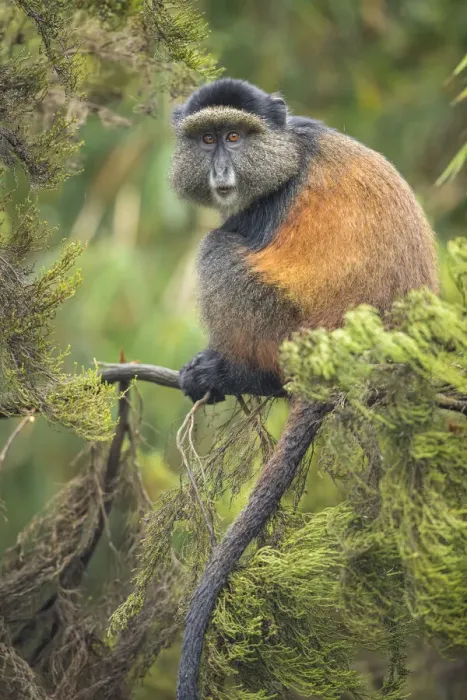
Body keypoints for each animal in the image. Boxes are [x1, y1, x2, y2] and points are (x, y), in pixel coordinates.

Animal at [169, 78, 438, 698]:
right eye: (207, 139)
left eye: (236, 137)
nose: (222, 170)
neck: (290, 149)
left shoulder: (269, 206)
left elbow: (228, 240)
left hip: (283, 328)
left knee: (216, 248)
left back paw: (238, 373)